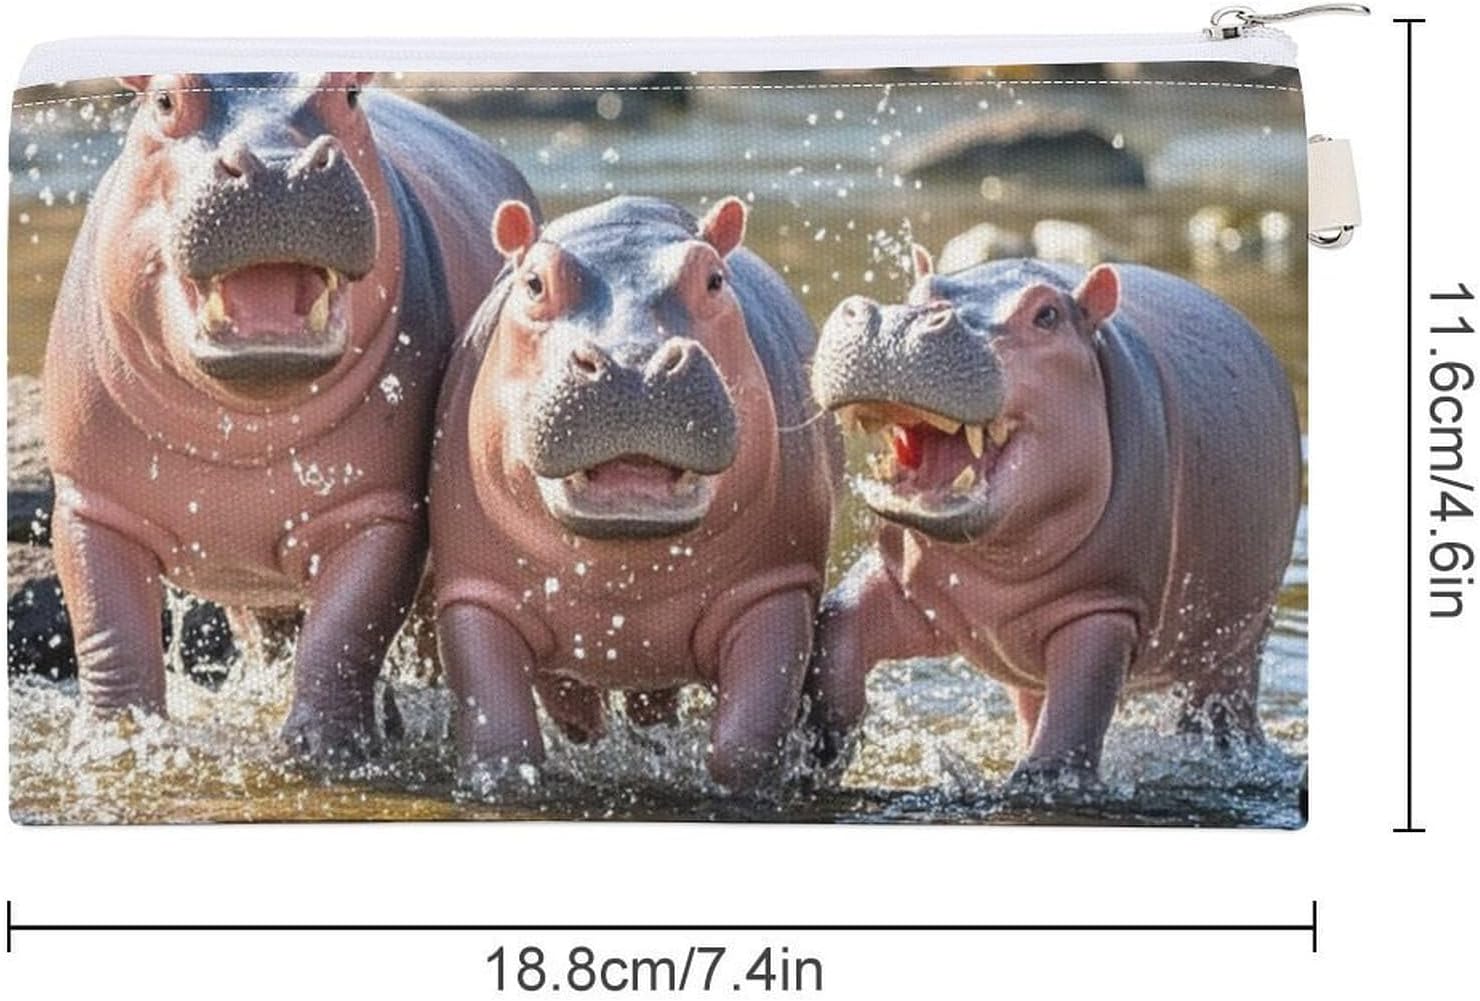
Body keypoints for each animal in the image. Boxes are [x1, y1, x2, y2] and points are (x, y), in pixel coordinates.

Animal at [42, 73, 537, 759]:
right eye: (164, 99)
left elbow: (347, 629)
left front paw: (326, 750)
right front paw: (119, 741)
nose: (279, 168)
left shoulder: (381, 510)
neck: (240, 431)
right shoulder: (91, 504)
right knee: (264, 635)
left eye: (350, 92)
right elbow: (107, 626)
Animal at [430, 195, 840, 791]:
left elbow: (745, 742)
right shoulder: (476, 594)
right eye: (534, 283)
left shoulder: (775, 587)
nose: (633, 363)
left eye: (715, 279)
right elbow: (501, 736)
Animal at [804, 246, 1301, 786]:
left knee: (1222, 710)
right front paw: (819, 750)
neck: (996, 567)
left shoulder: (1104, 608)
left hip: (1238, 643)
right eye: (917, 291)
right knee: (1032, 706)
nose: (897, 321)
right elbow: (839, 629)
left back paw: (1229, 754)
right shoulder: (906, 581)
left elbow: (1073, 721)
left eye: (1047, 315)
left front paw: (1042, 781)